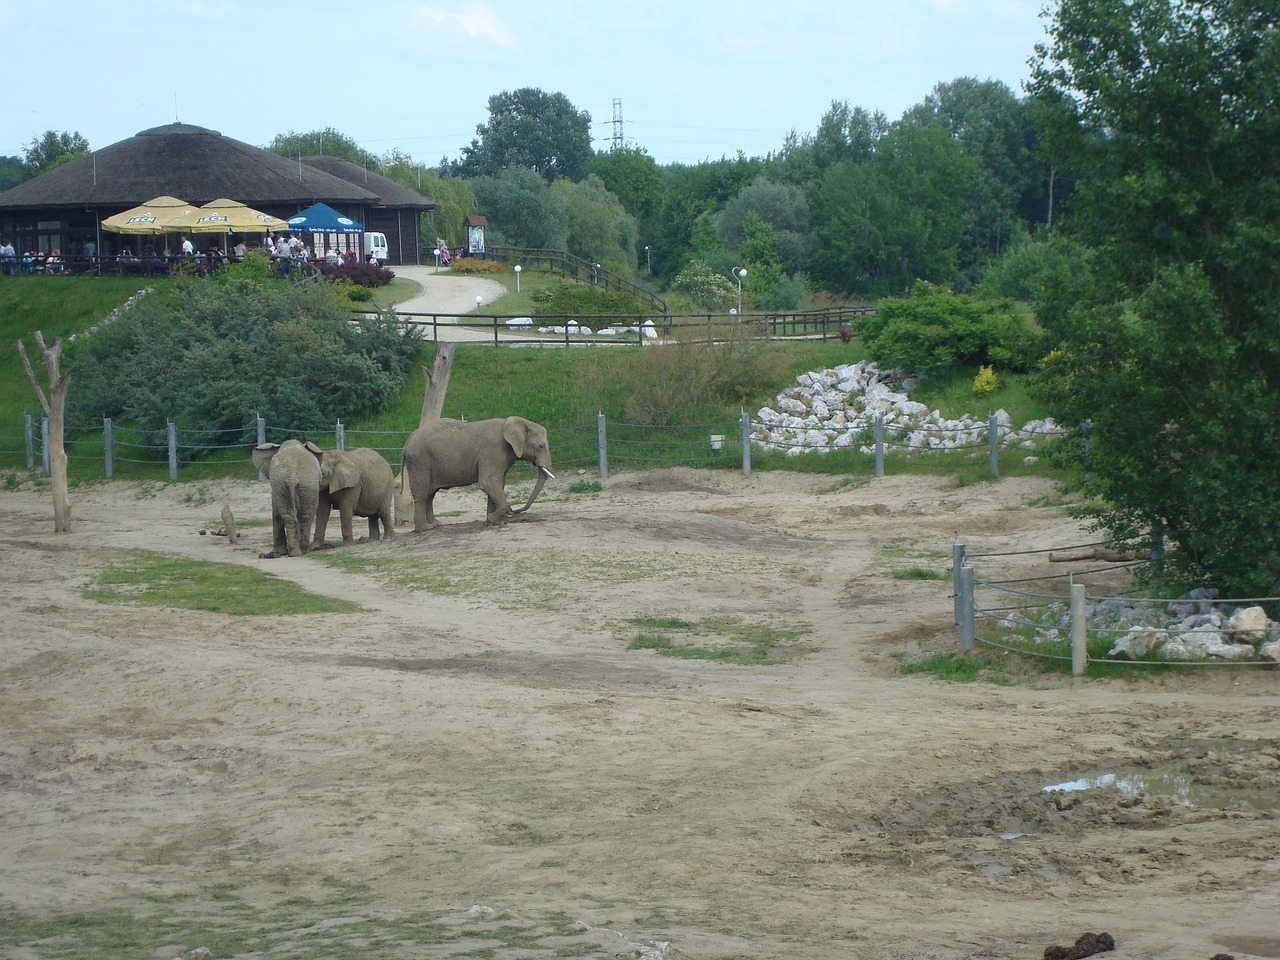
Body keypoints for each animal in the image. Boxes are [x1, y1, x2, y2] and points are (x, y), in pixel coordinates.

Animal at [399, 414, 555, 535]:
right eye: (541, 446)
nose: (513, 510)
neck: (515, 421)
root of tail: (407, 442)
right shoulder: (493, 452)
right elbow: (488, 482)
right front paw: (493, 519)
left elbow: (498, 483)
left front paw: (493, 522)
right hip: (419, 462)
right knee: (423, 494)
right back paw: (426, 529)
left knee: (431, 494)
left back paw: (436, 524)